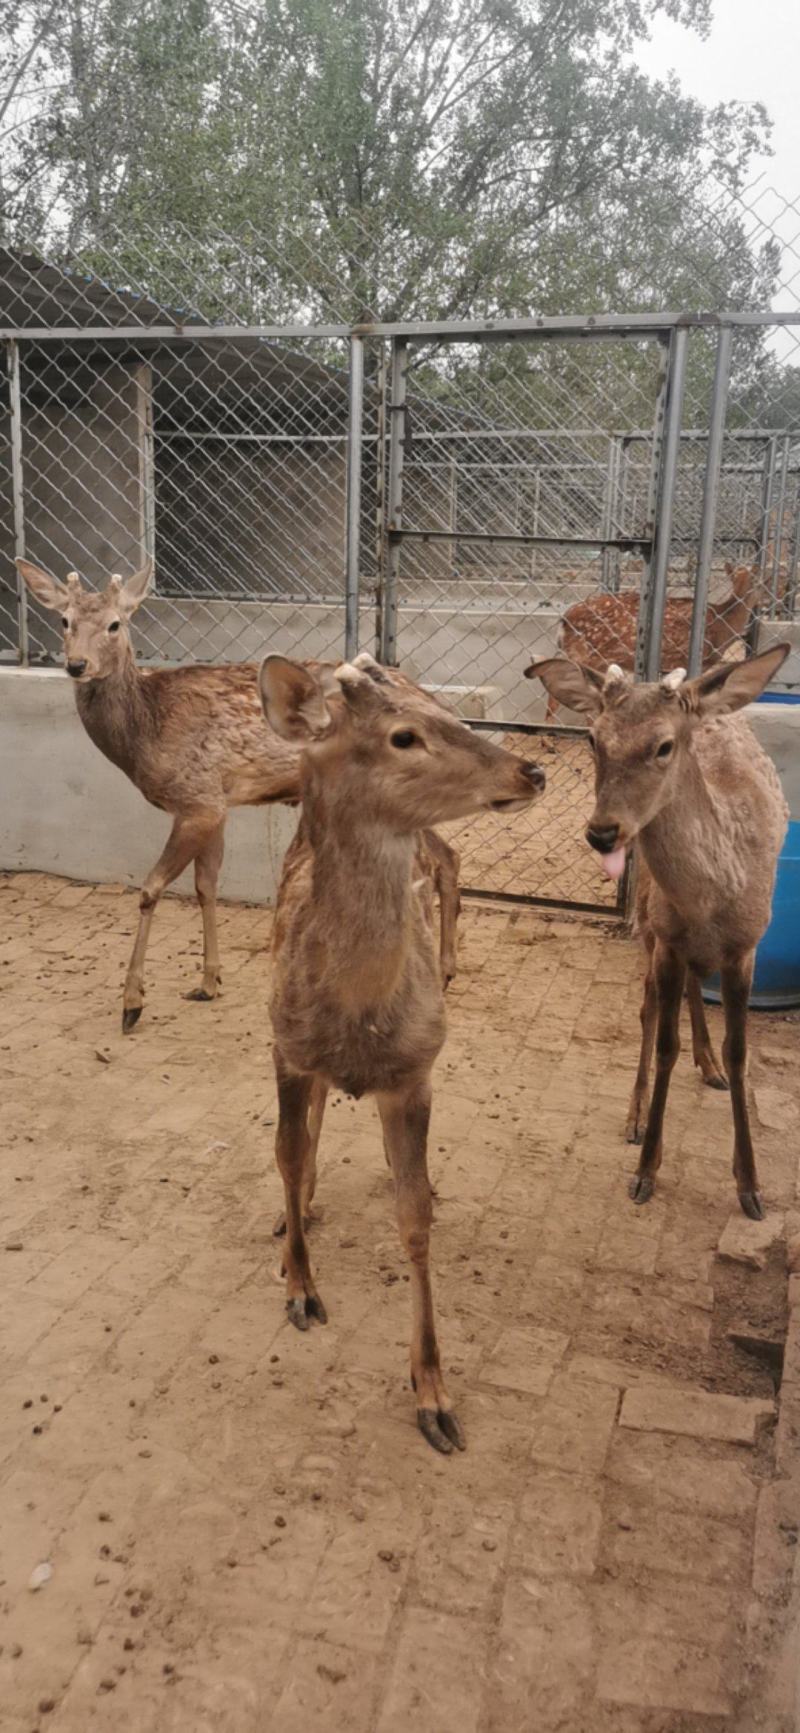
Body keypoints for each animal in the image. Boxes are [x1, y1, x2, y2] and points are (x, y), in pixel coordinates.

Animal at [17, 559, 462, 1031]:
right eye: (64, 621)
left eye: (115, 624)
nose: (76, 664)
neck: (146, 731)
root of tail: (437, 704)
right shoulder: (217, 803)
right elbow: (205, 886)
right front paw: (209, 981)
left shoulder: (198, 799)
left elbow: (151, 888)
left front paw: (132, 1003)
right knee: (448, 856)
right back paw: (445, 971)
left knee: (434, 861)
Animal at [258, 649, 545, 1454]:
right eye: (404, 736)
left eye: (449, 714)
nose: (532, 769)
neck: (359, 1016)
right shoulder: (287, 1048)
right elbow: (286, 1154)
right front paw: (301, 1286)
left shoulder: (415, 1073)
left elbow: (414, 1218)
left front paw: (434, 1395)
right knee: (307, 1136)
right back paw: (296, 1217)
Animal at [526, 642, 790, 1221]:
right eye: (593, 738)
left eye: (664, 745)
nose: (603, 832)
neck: (711, 898)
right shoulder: (665, 935)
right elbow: (663, 1039)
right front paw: (647, 1167)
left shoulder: (748, 946)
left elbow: (741, 1054)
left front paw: (750, 1185)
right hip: (646, 917)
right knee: (650, 1006)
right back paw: (637, 1111)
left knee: (693, 986)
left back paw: (708, 1064)